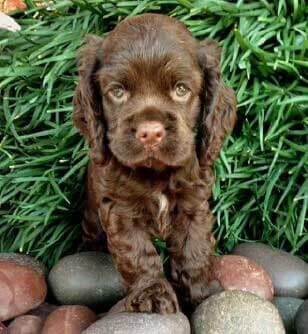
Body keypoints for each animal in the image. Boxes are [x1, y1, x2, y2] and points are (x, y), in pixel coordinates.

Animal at [73, 13, 237, 316]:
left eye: (181, 90)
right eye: (117, 92)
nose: (150, 133)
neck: (156, 174)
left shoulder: (193, 203)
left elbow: (193, 249)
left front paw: (200, 293)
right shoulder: (120, 209)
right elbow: (138, 253)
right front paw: (152, 295)